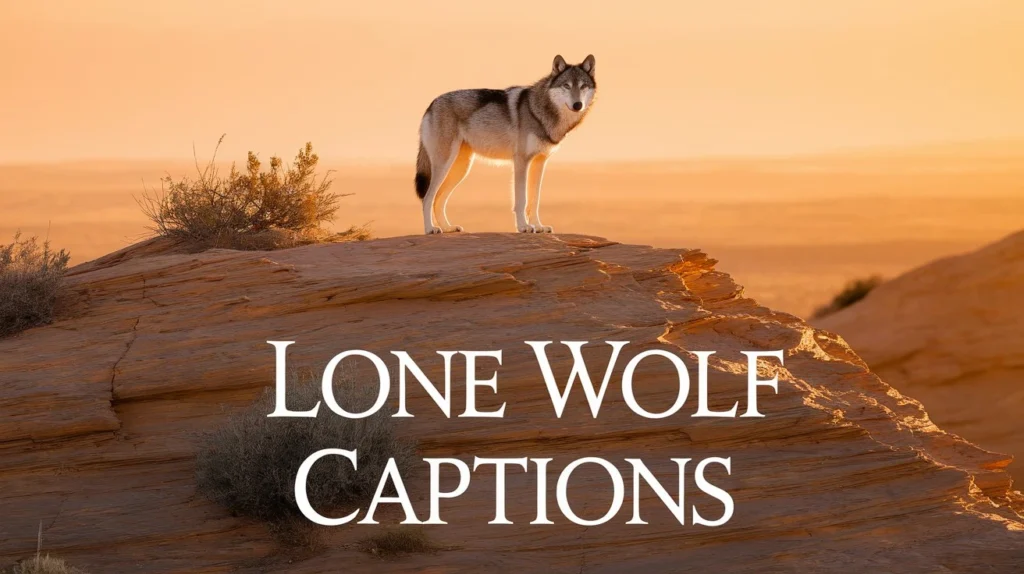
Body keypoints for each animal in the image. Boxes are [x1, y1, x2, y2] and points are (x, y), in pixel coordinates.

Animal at [414, 54, 597, 235]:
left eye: (583, 86)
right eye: (566, 85)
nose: (577, 105)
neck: (538, 111)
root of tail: (432, 104)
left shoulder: (539, 162)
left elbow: (535, 200)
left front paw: (538, 226)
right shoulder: (521, 161)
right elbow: (522, 200)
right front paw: (523, 227)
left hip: (461, 169)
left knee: (438, 199)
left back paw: (448, 228)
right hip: (444, 165)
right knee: (428, 197)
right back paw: (430, 229)